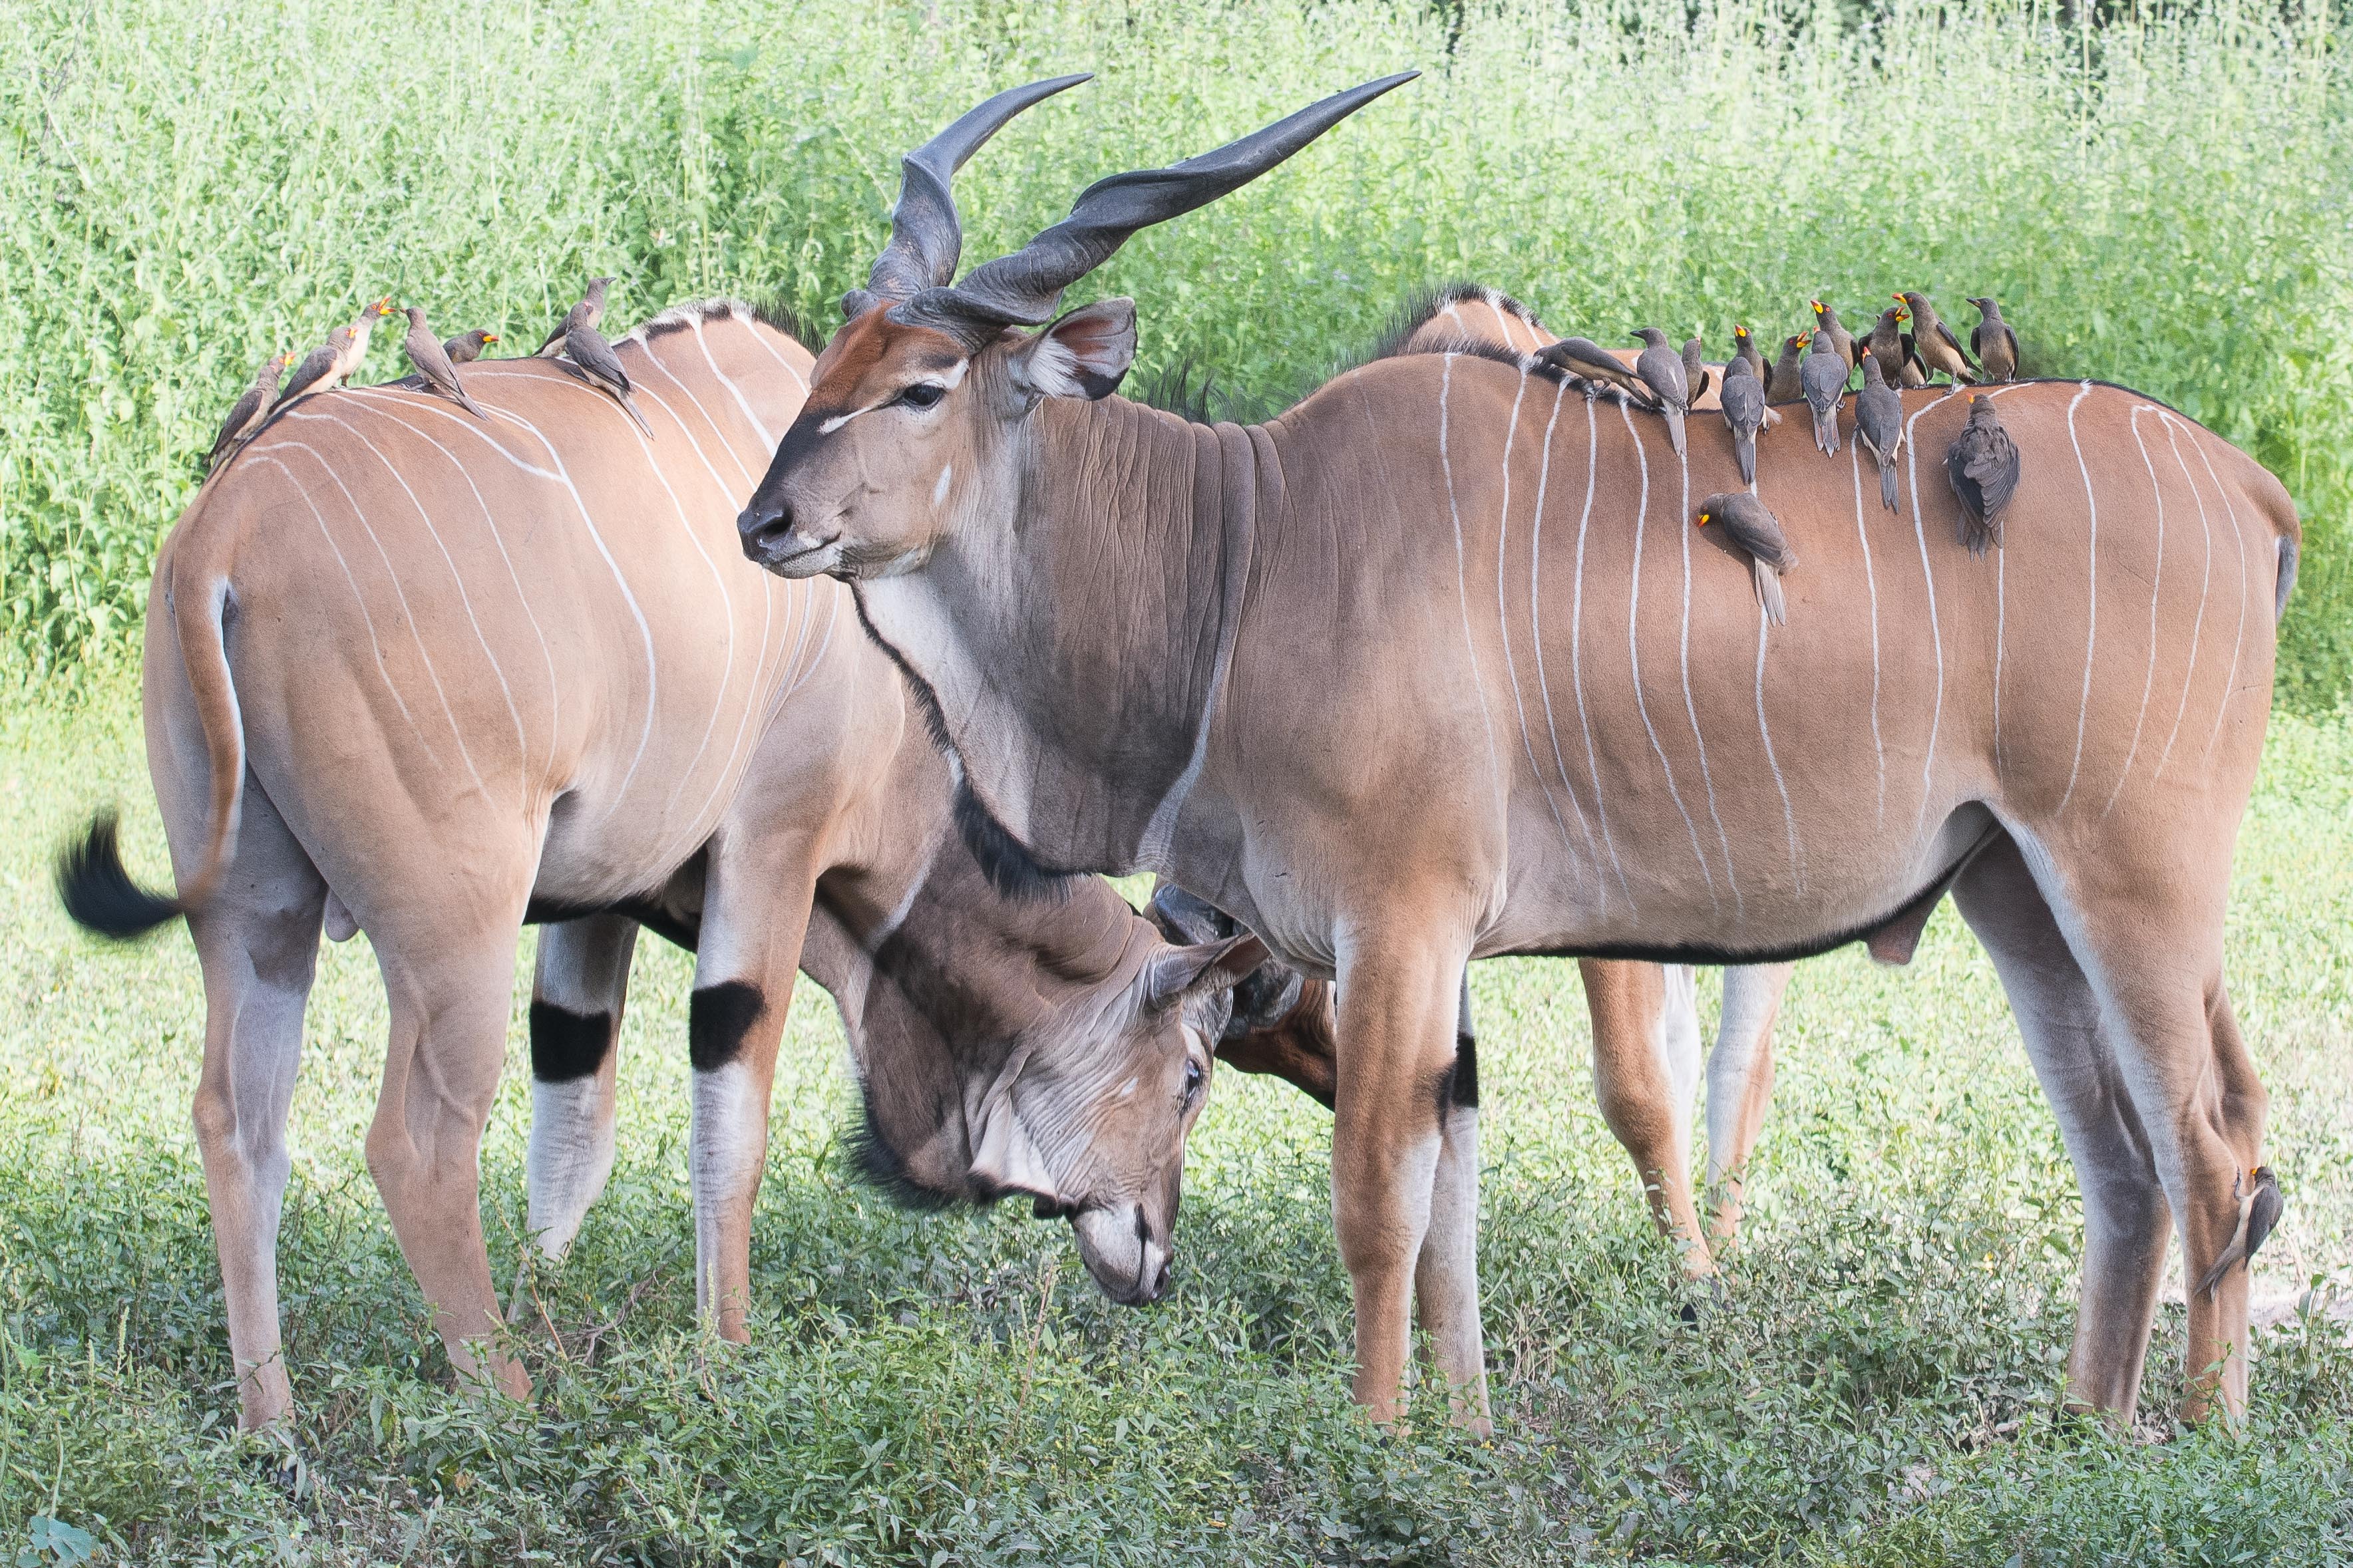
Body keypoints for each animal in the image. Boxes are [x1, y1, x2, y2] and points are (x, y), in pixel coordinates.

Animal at [743, 82, 2306, 1438]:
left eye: (922, 385)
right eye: (822, 369)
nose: (764, 523)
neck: (1244, 547)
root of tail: (2253, 493)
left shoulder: (1399, 921)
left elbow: (1380, 1198)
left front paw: (1378, 1437)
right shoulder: (1429, 956)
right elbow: (1453, 1202)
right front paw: (1466, 1434)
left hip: (2129, 872)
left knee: (2216, 1138)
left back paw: (2200, 1441)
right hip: (2014, 887)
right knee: (2120, 1153)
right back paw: (2084, 1430)